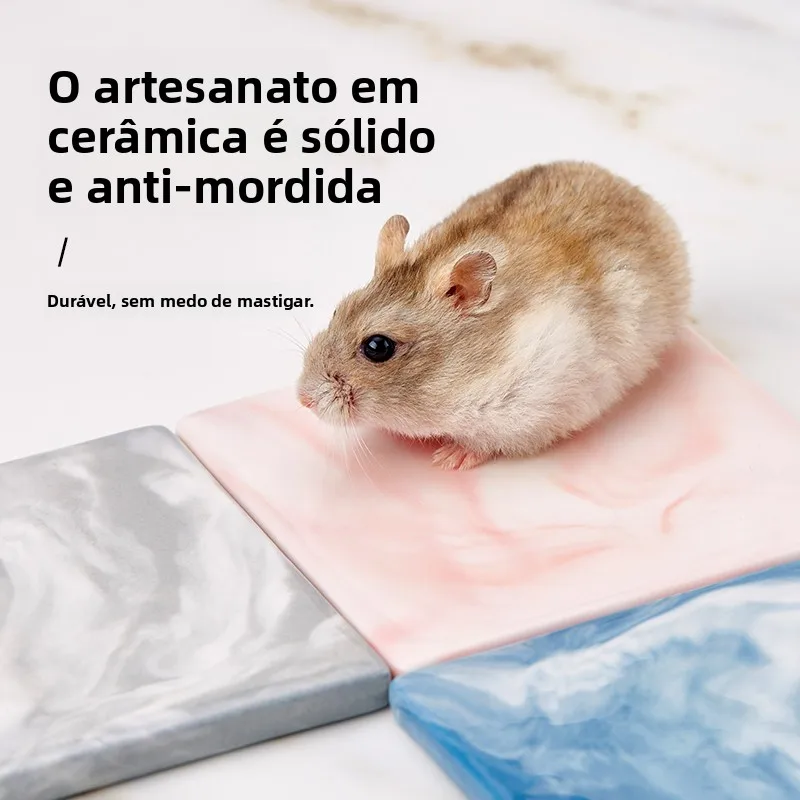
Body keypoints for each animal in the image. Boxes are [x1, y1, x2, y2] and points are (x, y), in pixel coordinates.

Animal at [297, 160, 690, 470]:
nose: (302, 400)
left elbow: (485, 442)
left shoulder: (535, 407)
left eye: (377, 347)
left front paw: (447, 459)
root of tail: (633, 191)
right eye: (337, 310)